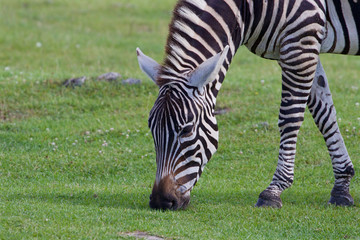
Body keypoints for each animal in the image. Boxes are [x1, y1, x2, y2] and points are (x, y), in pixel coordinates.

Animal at [136, 0, 358, 210]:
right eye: (152, 129)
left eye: (186, 130)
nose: (160, 201)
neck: (248, 9)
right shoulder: (298, 48)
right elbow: (324, 113)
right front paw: (341, 189)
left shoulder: (300, 44)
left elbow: (290, 118)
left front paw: (273, 191)